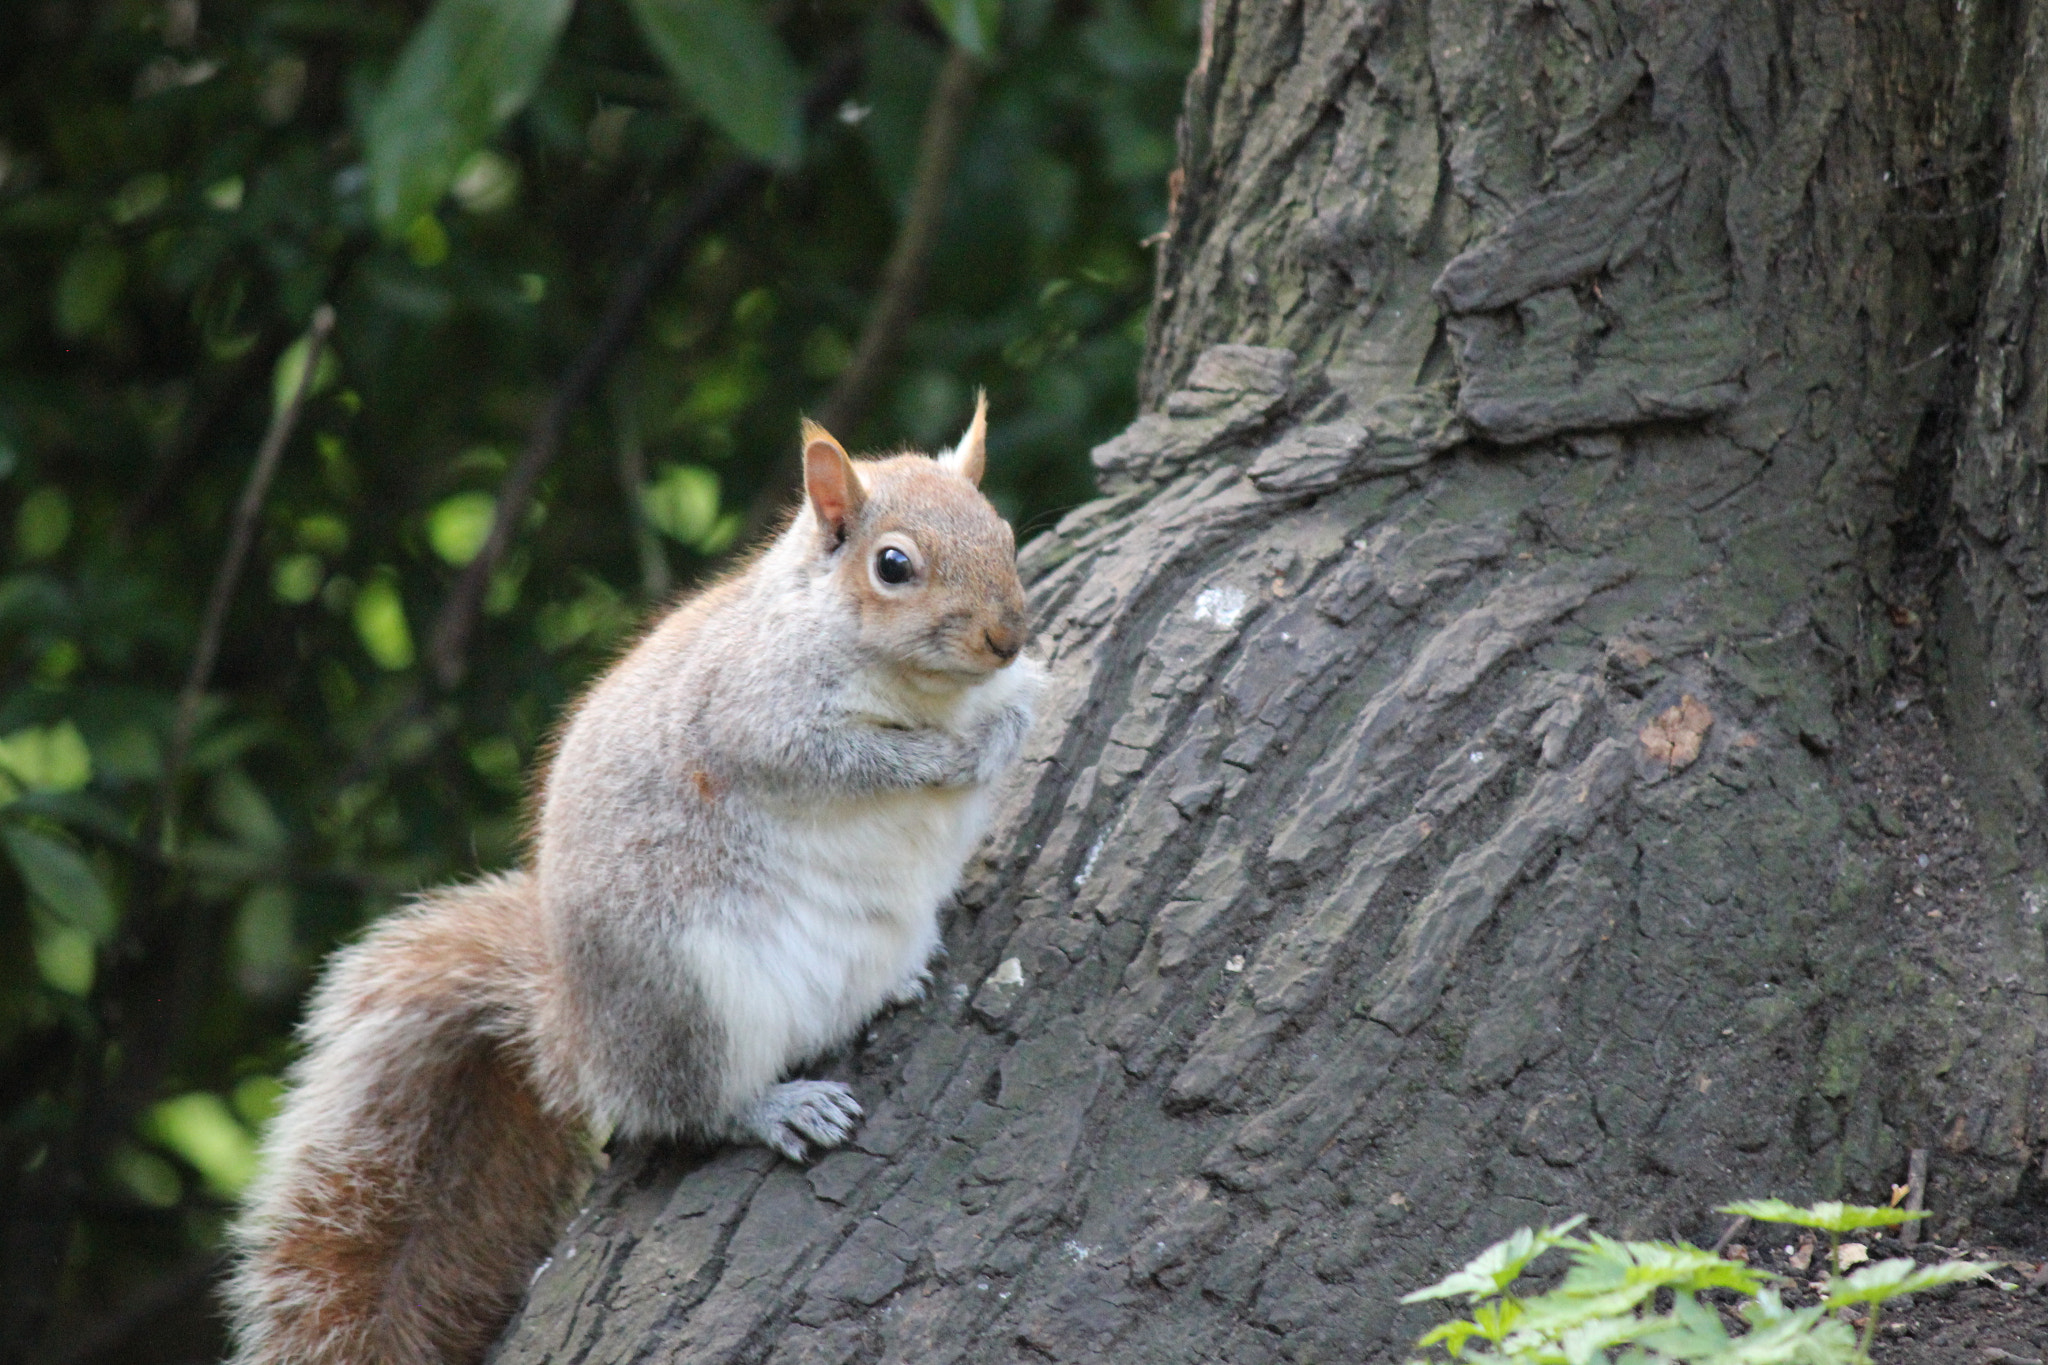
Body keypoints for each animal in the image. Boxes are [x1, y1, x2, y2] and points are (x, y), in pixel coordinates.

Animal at [224, 398, 1042, 1365]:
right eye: (894, 565)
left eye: (1006, 532)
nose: (1007, 636)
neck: (926, 687)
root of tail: (574, 1039)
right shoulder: (753, 713)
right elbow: (844, 758)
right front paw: (939, 756)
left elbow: (1013, 717)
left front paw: (1006, 725)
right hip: (690, 994)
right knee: (686, 1105)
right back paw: (776, 1106)